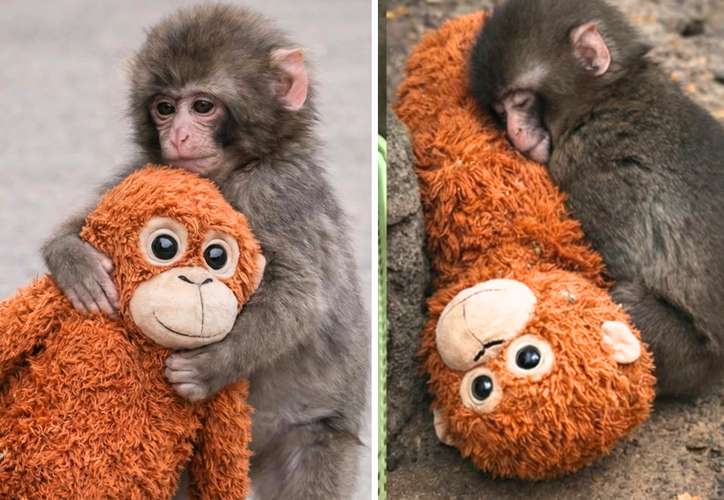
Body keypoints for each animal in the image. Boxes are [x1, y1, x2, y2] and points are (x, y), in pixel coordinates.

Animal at [40, 4, 368, 499]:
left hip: (315, 433)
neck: (232, 171)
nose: (177, 136)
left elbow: (300, 297)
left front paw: (212, 367)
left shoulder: (277, 192)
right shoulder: (148, 171)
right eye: (164, 107)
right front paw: (74, 261)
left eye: (202, 106)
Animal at [468, 0, 724, 399]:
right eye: (500, 110)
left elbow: (614, 263)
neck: (605, 97)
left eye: (520, 100)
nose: (513, 132)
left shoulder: (595, 165)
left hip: (689, 357)